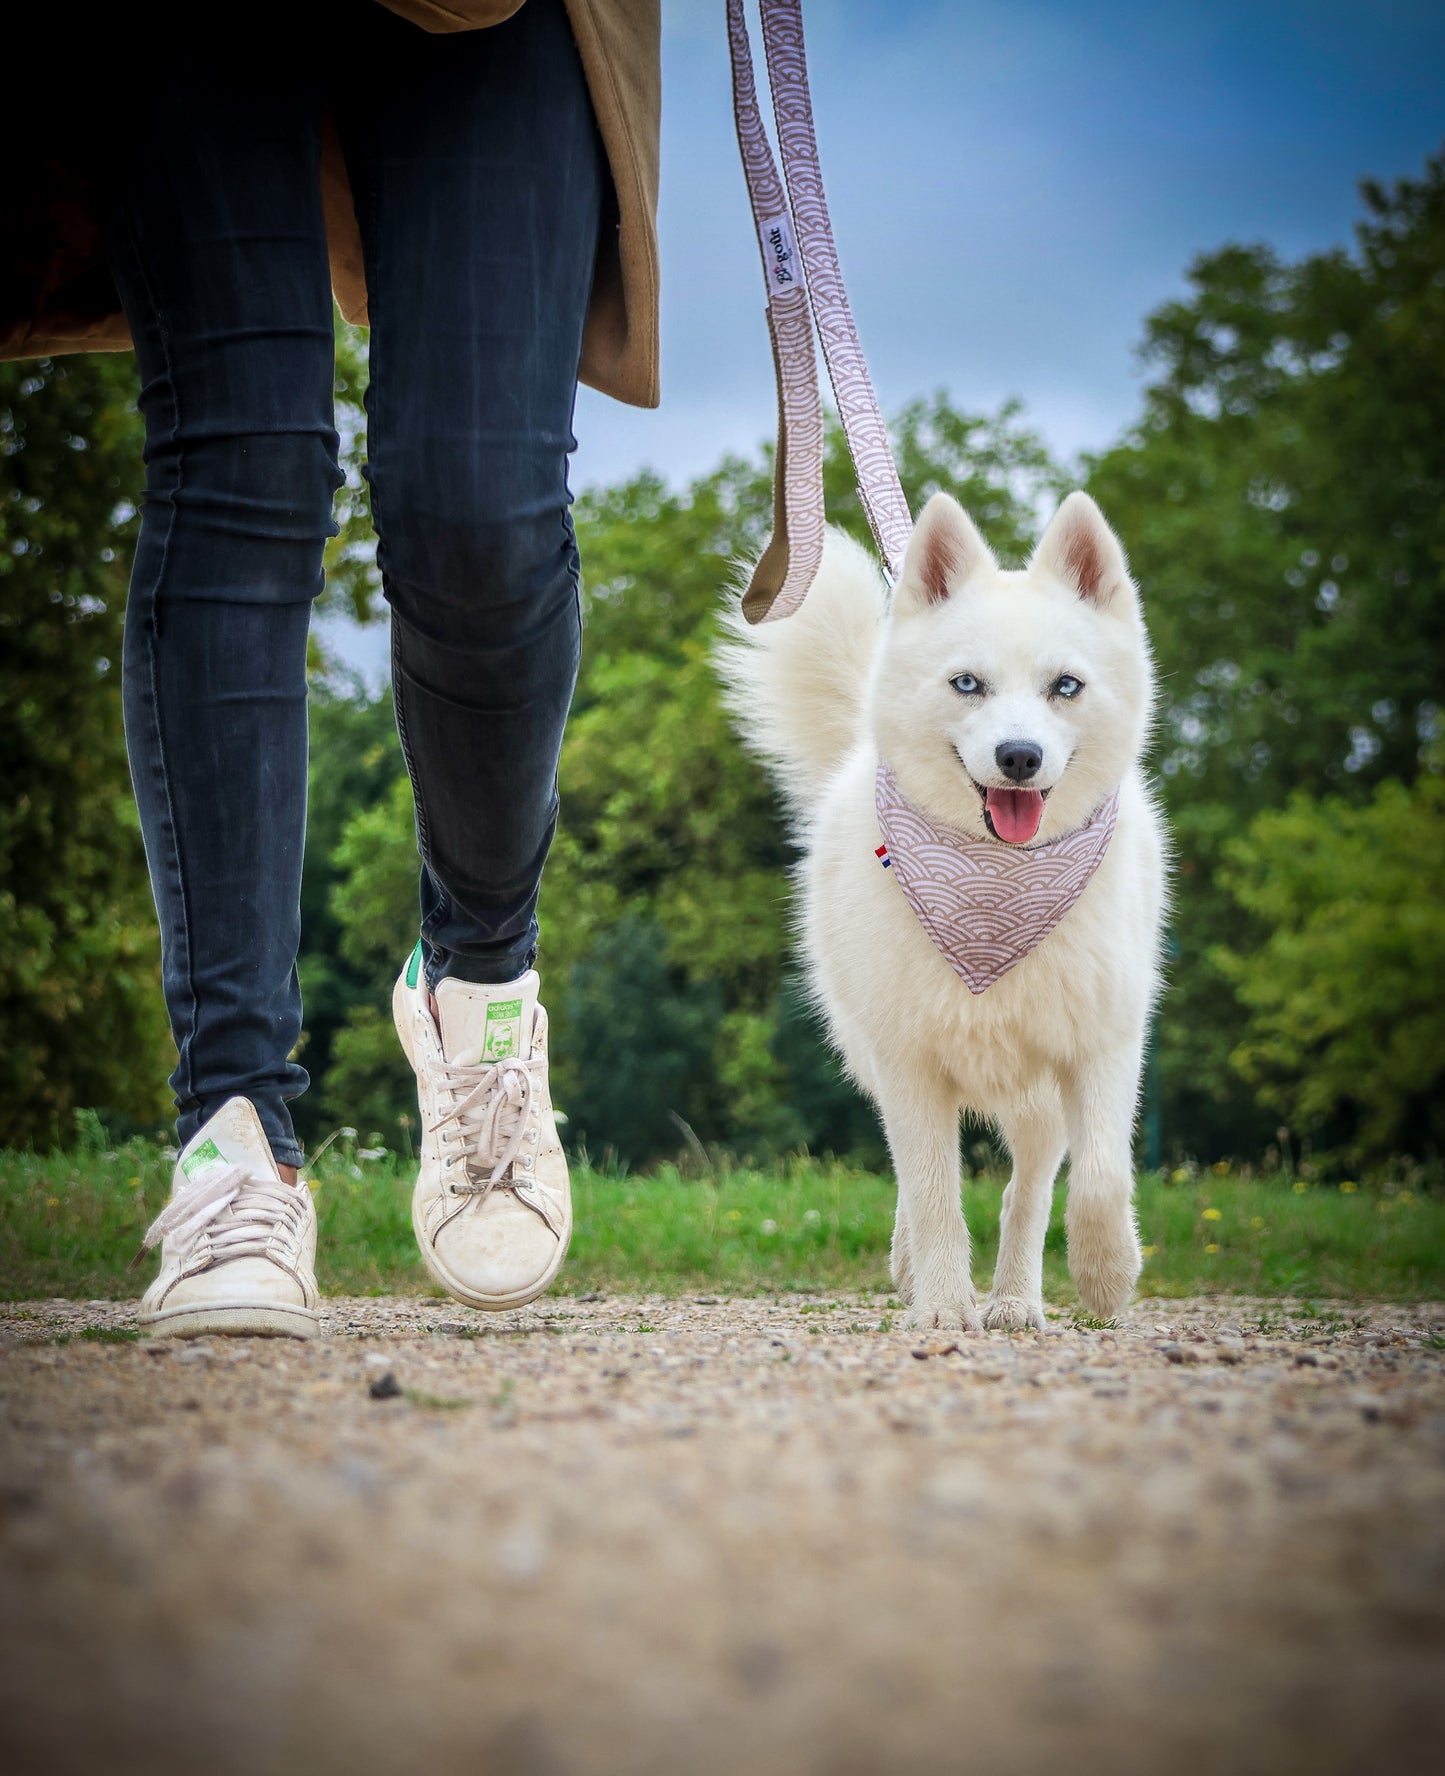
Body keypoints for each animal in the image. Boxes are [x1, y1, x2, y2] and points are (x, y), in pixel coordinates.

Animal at [717, 493, 1171, 1328]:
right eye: (967, 684)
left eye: (1065, 686)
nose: (1019, 757)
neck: (994, 882)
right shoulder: (909, 1066)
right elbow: (932, 1194)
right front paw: (939, 1305)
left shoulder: (1104, 1047)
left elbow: (1099, 1176)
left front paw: (1105, 1273)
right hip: (874, 1059)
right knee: (918, 1185)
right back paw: (918, 1272)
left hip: (1036, 1101)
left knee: (1028, 1192)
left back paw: (1016, 1299)